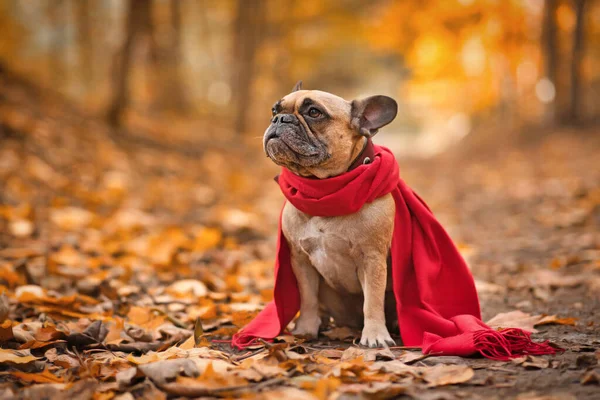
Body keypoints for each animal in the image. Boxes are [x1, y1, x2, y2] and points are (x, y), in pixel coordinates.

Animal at [262, 82, 398, 346]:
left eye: (314, 112)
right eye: (274, 109)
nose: (279, 119)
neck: (323, 190)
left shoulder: (373, 259)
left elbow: (373, 300)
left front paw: (375, 335)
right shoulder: (300, 260)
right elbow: (308, 298)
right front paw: (305, 328)